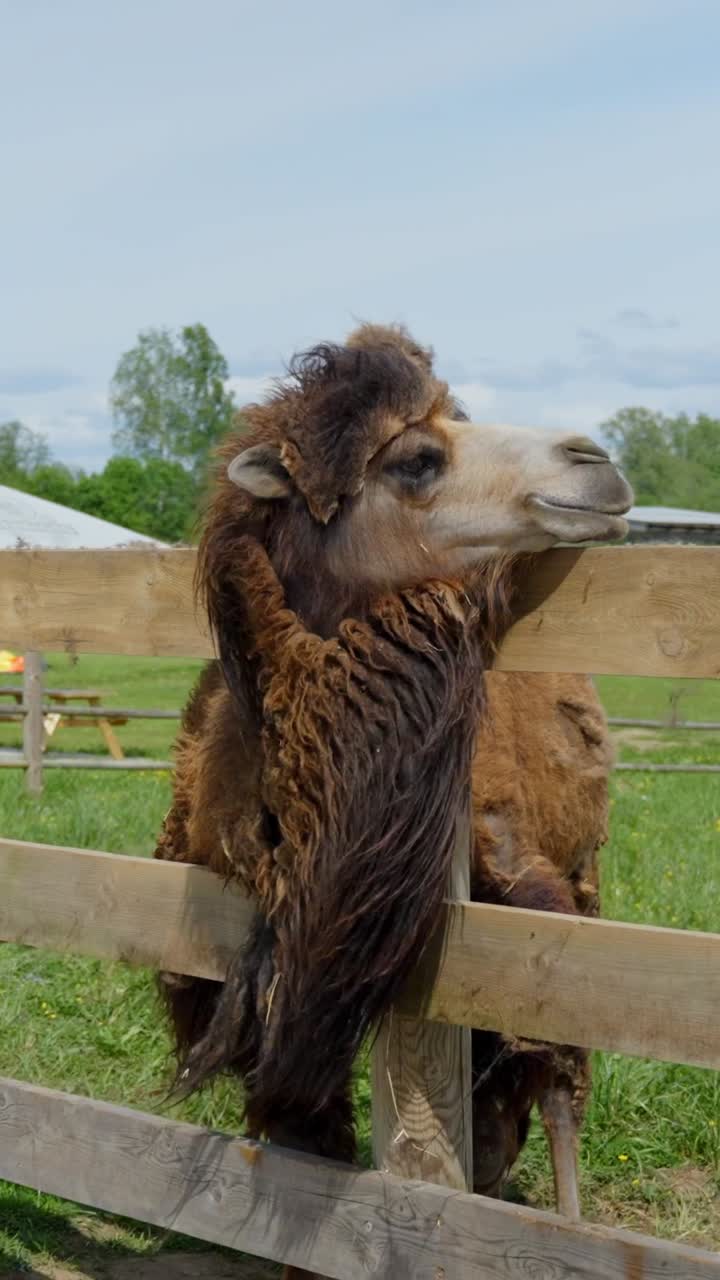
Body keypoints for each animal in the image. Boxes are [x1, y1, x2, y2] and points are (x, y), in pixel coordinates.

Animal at [153, 323, 631, 1278]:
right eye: (416, 458)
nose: (596, 463)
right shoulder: (263, 978)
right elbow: (299, 1132)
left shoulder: (514, 881)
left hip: (580, 876)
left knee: (558, 1073)